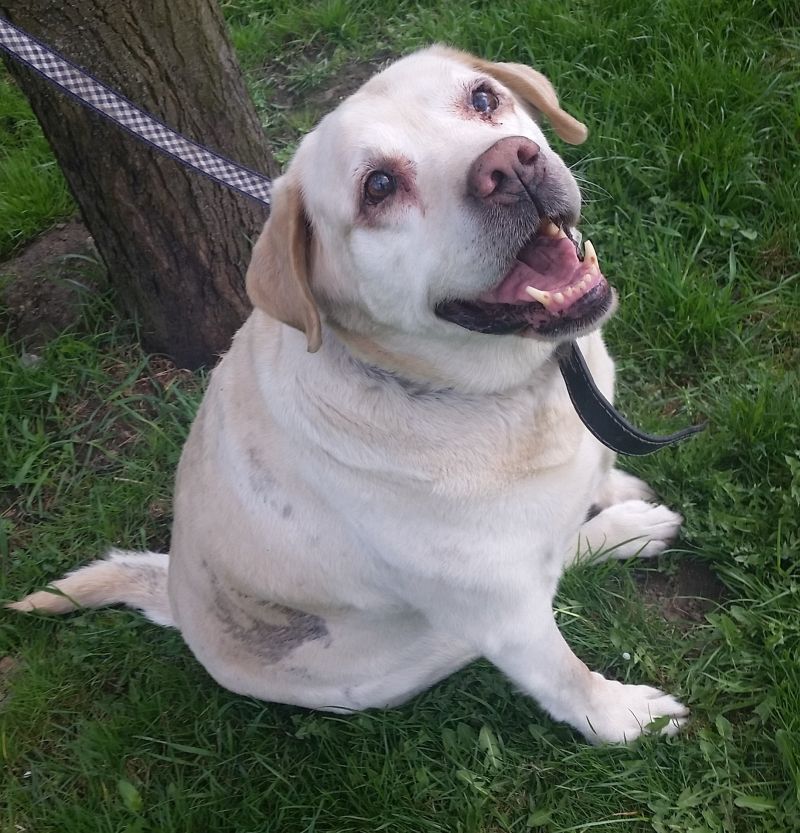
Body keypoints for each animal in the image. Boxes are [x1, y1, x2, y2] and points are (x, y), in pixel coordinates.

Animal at [9, 46, 688, 744]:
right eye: (379, 187)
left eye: (483, 99)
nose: (509, 164)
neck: (514, 390)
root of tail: (171, 594)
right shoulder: (505, 619)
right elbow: (568, 679)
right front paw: (625, 718)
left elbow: (591, 481)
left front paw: (614, 496)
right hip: (421, 648)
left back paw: (629, 528)